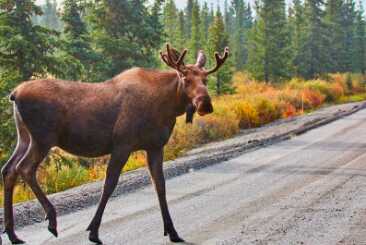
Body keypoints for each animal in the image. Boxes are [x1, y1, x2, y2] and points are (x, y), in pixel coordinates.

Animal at [1, 45, 229, 244]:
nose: (205, 104)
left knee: (9, 169)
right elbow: (109, 184)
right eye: (185, 78)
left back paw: (13, 234)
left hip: (25, 137)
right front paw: (93, 231)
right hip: (43, 138)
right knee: (24, 168)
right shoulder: (122, 144)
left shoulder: (155, 146)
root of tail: (14, 94)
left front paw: (172, 231)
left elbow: (160, 185)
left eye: (205, 79)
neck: (166, 107)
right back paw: (51, 219)